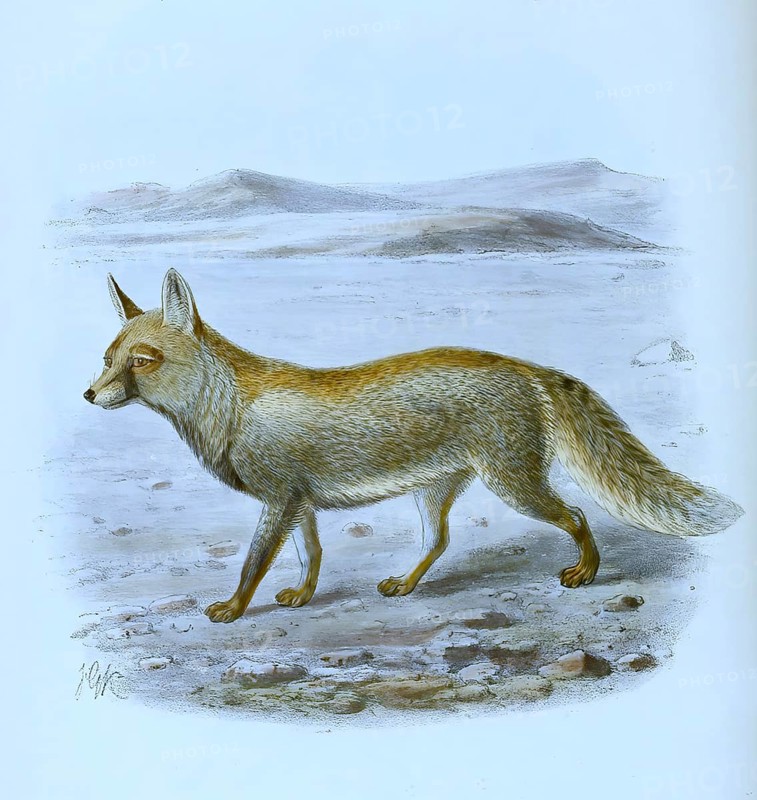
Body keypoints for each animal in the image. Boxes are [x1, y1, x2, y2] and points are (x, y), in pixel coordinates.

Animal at [85, 269, 743, 623]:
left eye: (141, 361)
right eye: (107, 358)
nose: (89, 394)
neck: (231, 408)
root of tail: (528, 367)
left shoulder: (278, 501)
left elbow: (251, 563)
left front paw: (234, 607)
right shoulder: (298, 502)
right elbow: (311, 554)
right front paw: (303, 595)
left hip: (515, 486)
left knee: (578, 514)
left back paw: (586, 570)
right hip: (437, 491)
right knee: (439, 541)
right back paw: (405, 584)